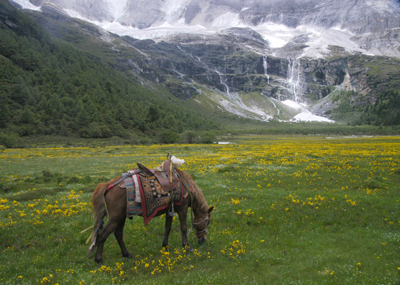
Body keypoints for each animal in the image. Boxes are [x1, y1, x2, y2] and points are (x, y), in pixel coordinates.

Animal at [86, 168, 214, 262]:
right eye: (207, 222)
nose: (203, 240)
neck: (186, 185)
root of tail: (108, 185)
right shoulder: (182, 208)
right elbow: (183, 228)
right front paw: (187, 246)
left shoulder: (169, 210)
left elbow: (167, 228)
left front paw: (166, 246)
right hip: (116, 218)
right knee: (102, 234)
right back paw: (98, 259)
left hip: (121, 217)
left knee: (118, 234)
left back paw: (127, 254)